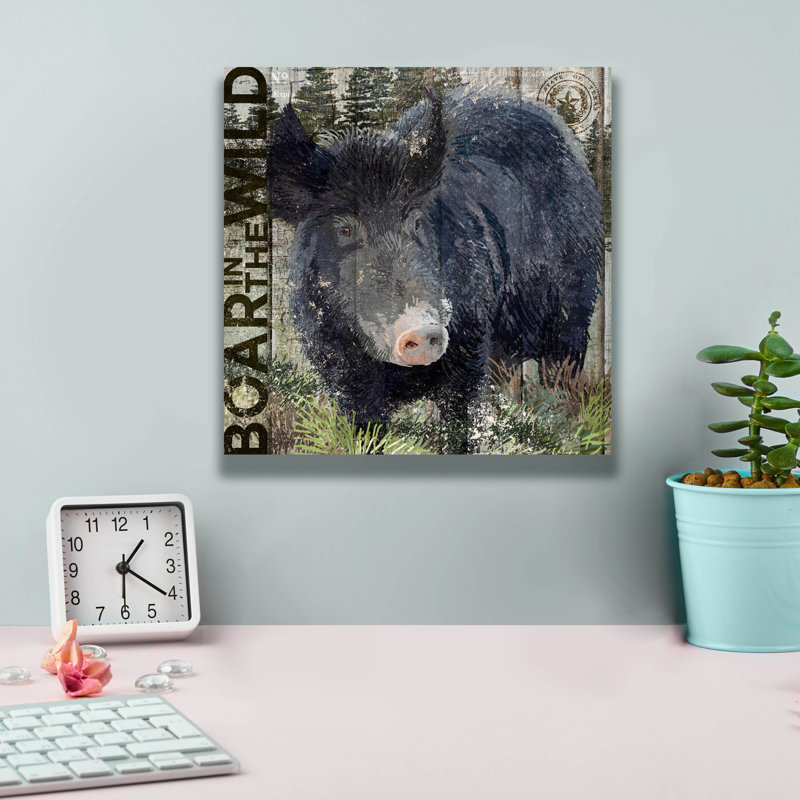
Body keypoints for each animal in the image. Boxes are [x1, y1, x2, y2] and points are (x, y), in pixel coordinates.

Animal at [270, 85, 603, 431]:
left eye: (416, 222)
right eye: (345, 229)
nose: (421, 328)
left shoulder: (470, 345)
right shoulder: (338, 368)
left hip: (574, 304)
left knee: (562, 374)